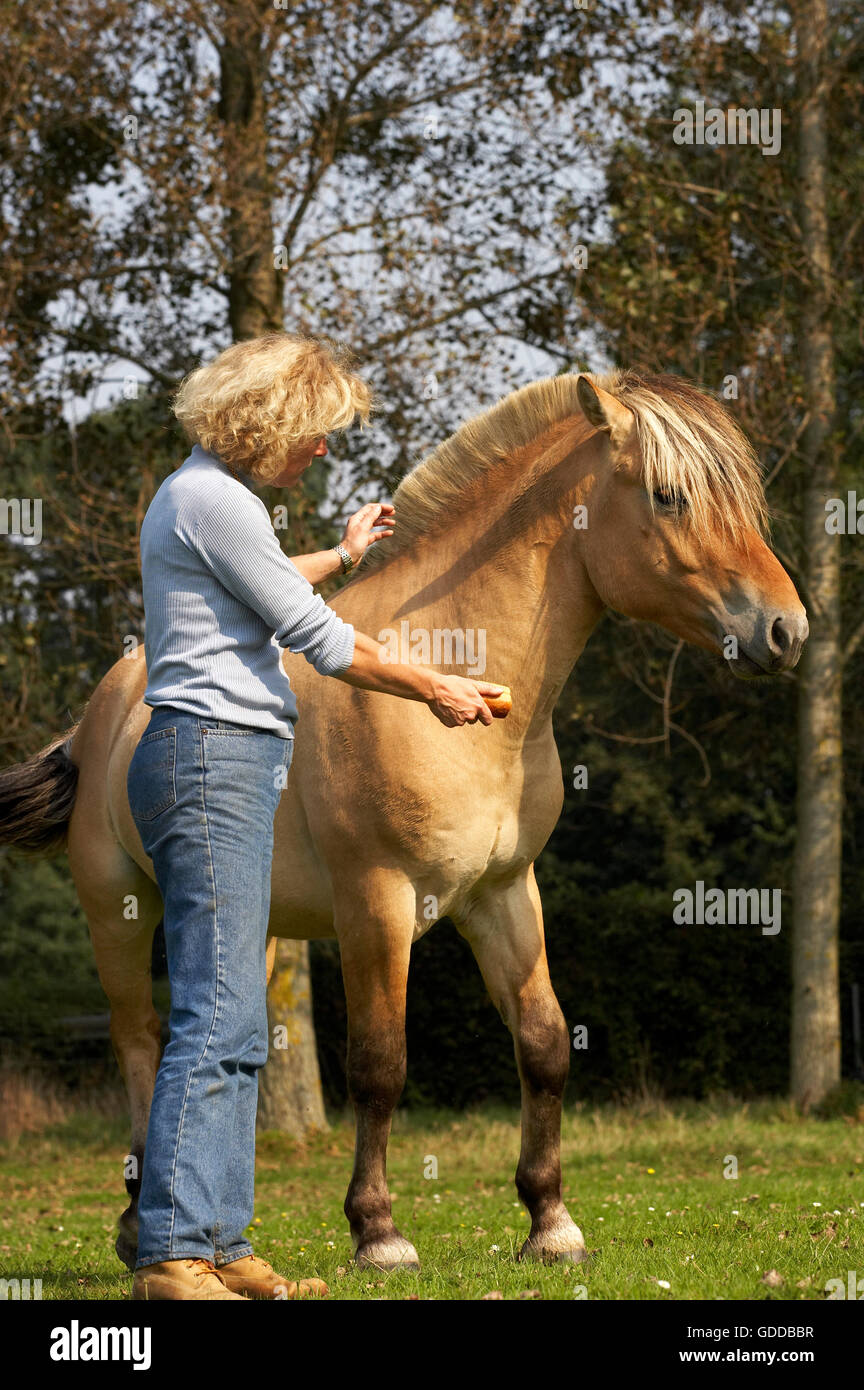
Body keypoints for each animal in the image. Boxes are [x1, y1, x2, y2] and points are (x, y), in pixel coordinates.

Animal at [0, 369, 808, 1272]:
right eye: (670, 497)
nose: (786, 629)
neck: (457, 673)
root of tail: (98, 716)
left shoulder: (504, 893)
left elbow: (543, 1043)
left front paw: (551, 1223)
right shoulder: (377, 904)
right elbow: (380, 1063)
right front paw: (379, 1233)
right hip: (120, 912)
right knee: (141, 1041)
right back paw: (142, 1224)